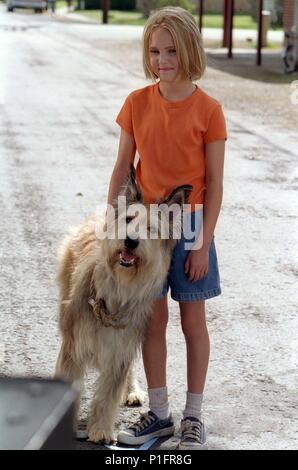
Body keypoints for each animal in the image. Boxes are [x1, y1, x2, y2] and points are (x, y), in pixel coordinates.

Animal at [54, 166, 192, 444]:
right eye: (128, 219)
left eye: (150, 229)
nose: (130, 241)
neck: (117, 288)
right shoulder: (73, 349)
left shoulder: (120, 350)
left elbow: (108, 394)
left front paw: (100, 430)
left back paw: (133, 391)